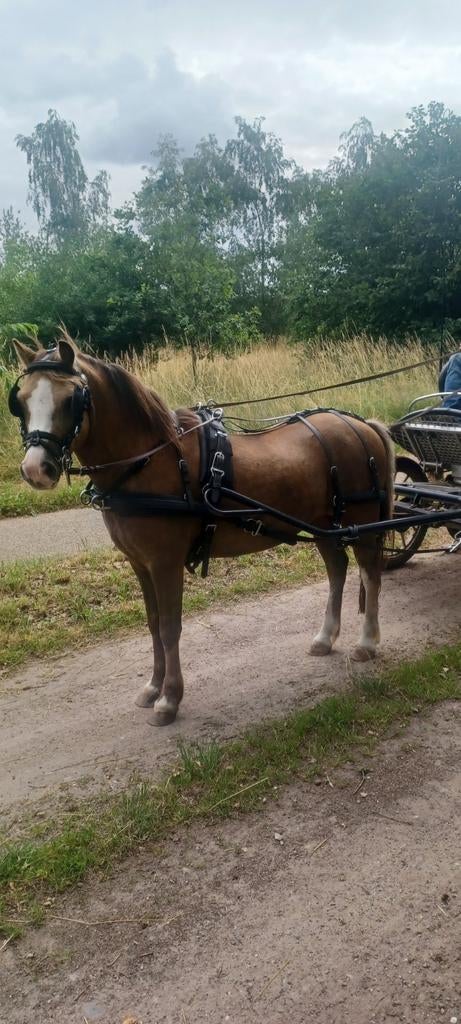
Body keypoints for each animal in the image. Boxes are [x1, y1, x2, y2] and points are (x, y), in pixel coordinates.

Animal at [10, 336, 394, 726]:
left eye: (71, 399)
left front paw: (169, 699)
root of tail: (362, 426)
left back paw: (366, 643)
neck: (149, 461)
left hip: (361, 524)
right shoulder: (140, 564)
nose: (36, 469)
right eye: (21, 400)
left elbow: (169, 627)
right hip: (323, 525)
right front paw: (153, 687)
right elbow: (153, 623)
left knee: (370, 573)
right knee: (337, 569)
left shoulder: (164, 562)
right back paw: (325, 637)